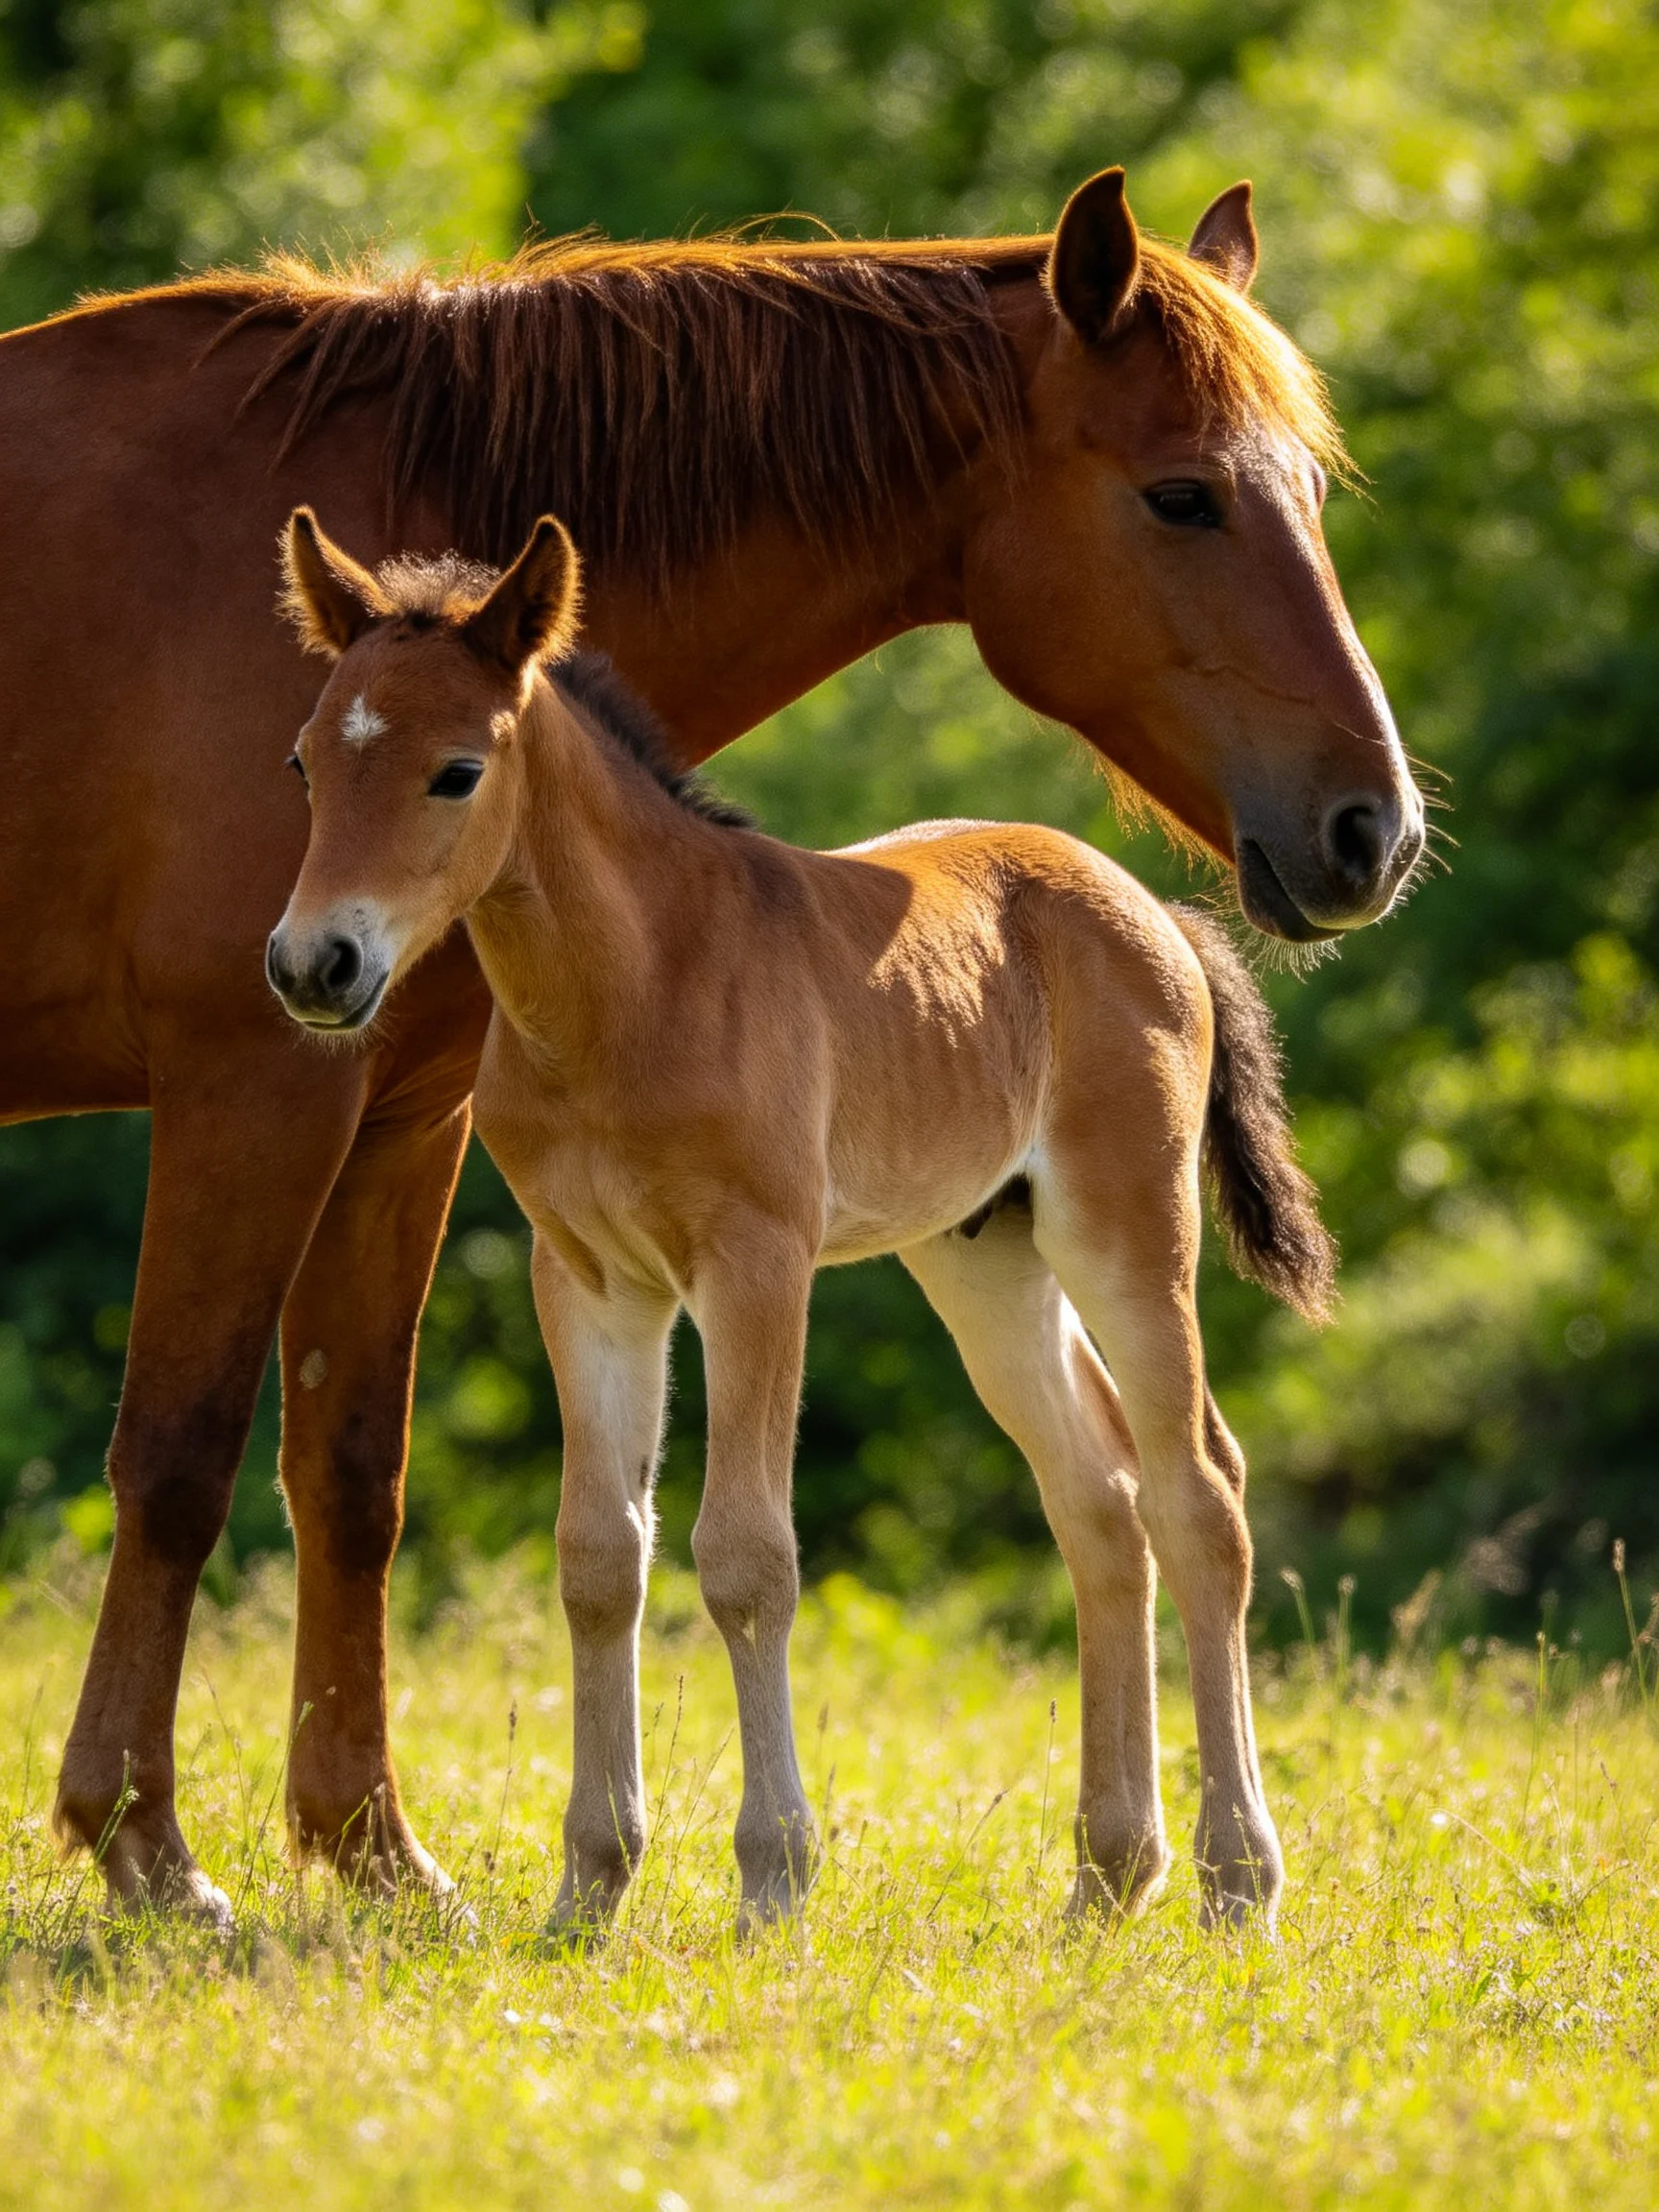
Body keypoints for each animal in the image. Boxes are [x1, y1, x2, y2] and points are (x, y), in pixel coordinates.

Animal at [266, 506, 1336, 1930]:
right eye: (306, 761)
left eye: (454, 771)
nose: (313, 966)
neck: (633, 986)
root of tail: (1158, 910)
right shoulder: (590, 1279)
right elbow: (598, 1557)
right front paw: (589, 1886)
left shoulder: (757, 1266)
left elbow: (745, 1557)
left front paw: (774, 1878)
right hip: (984, 1258)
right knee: (1098, 1496)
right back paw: (1108, 1879)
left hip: (1125, 1229)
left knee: (1198, 1491)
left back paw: (1236, 1880)